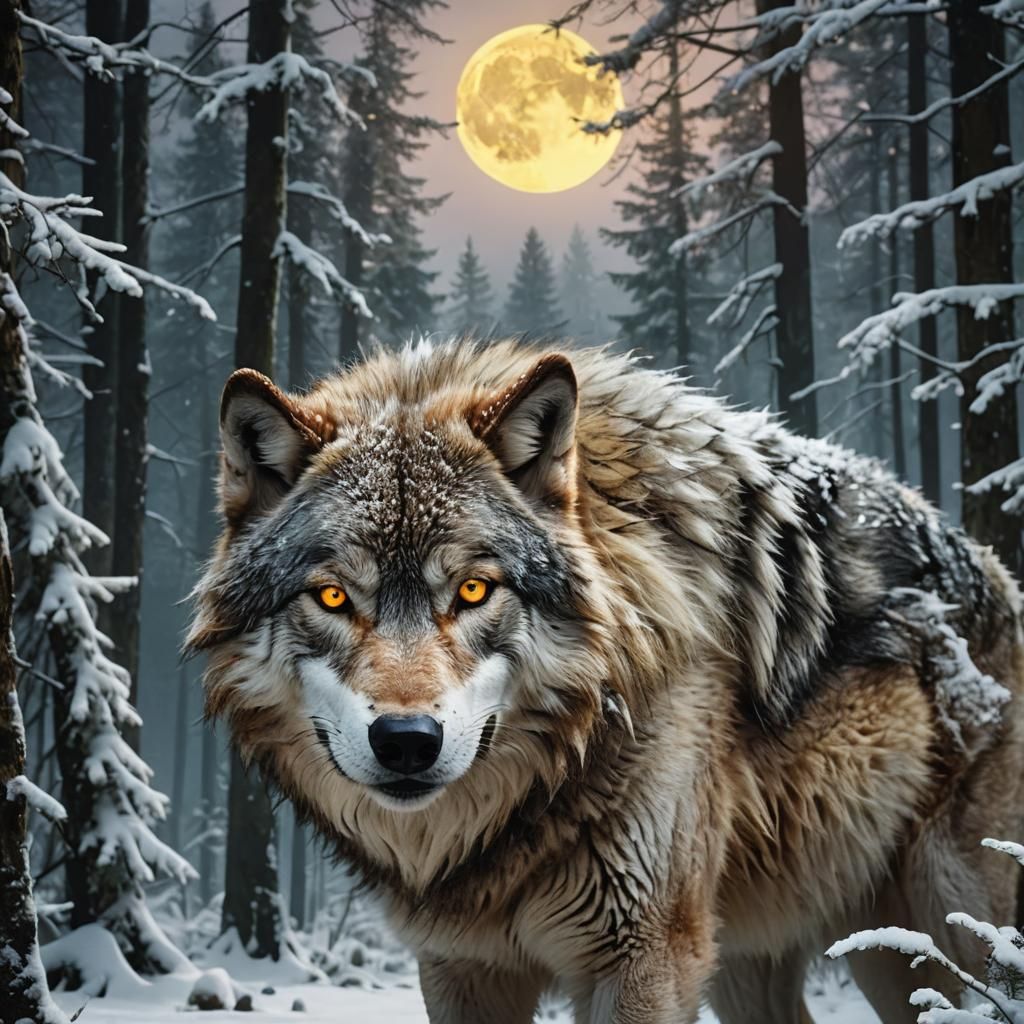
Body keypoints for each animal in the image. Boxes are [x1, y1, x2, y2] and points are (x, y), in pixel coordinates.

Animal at [188, 339, 1024, 1023]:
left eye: (473, 591)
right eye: (333, 597)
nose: (406, 742)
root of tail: (998, 574)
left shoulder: (645, 959)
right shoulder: (462, 967)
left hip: (947, 928)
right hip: (780, 960)